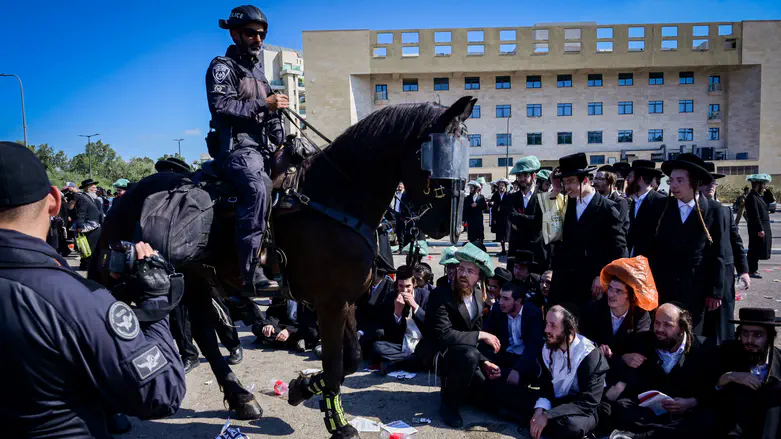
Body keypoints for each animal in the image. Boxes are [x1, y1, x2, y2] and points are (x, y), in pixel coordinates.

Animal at [92, 97, 476, 439]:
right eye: (438, 152)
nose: (445, 224)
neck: (335, 197)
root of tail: (131, 194)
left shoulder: (346, 301)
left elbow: (349, 360)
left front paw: (303, 387)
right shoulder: (330, 303)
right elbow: (334, 367)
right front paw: (337, 423)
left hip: (196, 277)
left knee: (204, 333)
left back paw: (240, 398)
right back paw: (112, 414)